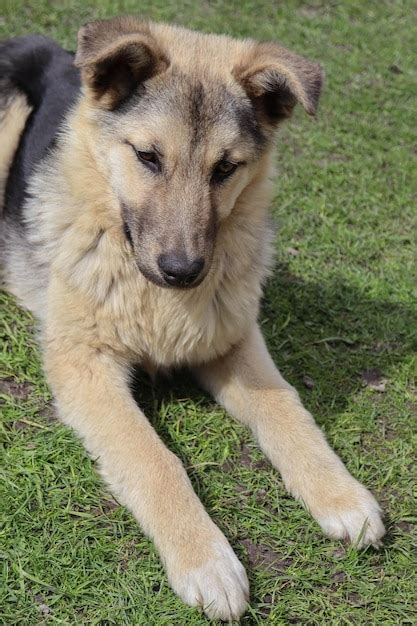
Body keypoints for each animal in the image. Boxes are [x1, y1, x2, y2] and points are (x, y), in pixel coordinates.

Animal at [0, 15, 384, 620]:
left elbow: (287, 409)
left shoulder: (234, 339)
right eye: (148, 157)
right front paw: (205, 558)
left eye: (225, 169)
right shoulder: (84, 362)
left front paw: (340, 493)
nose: (183, 272)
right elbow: (153, 458)